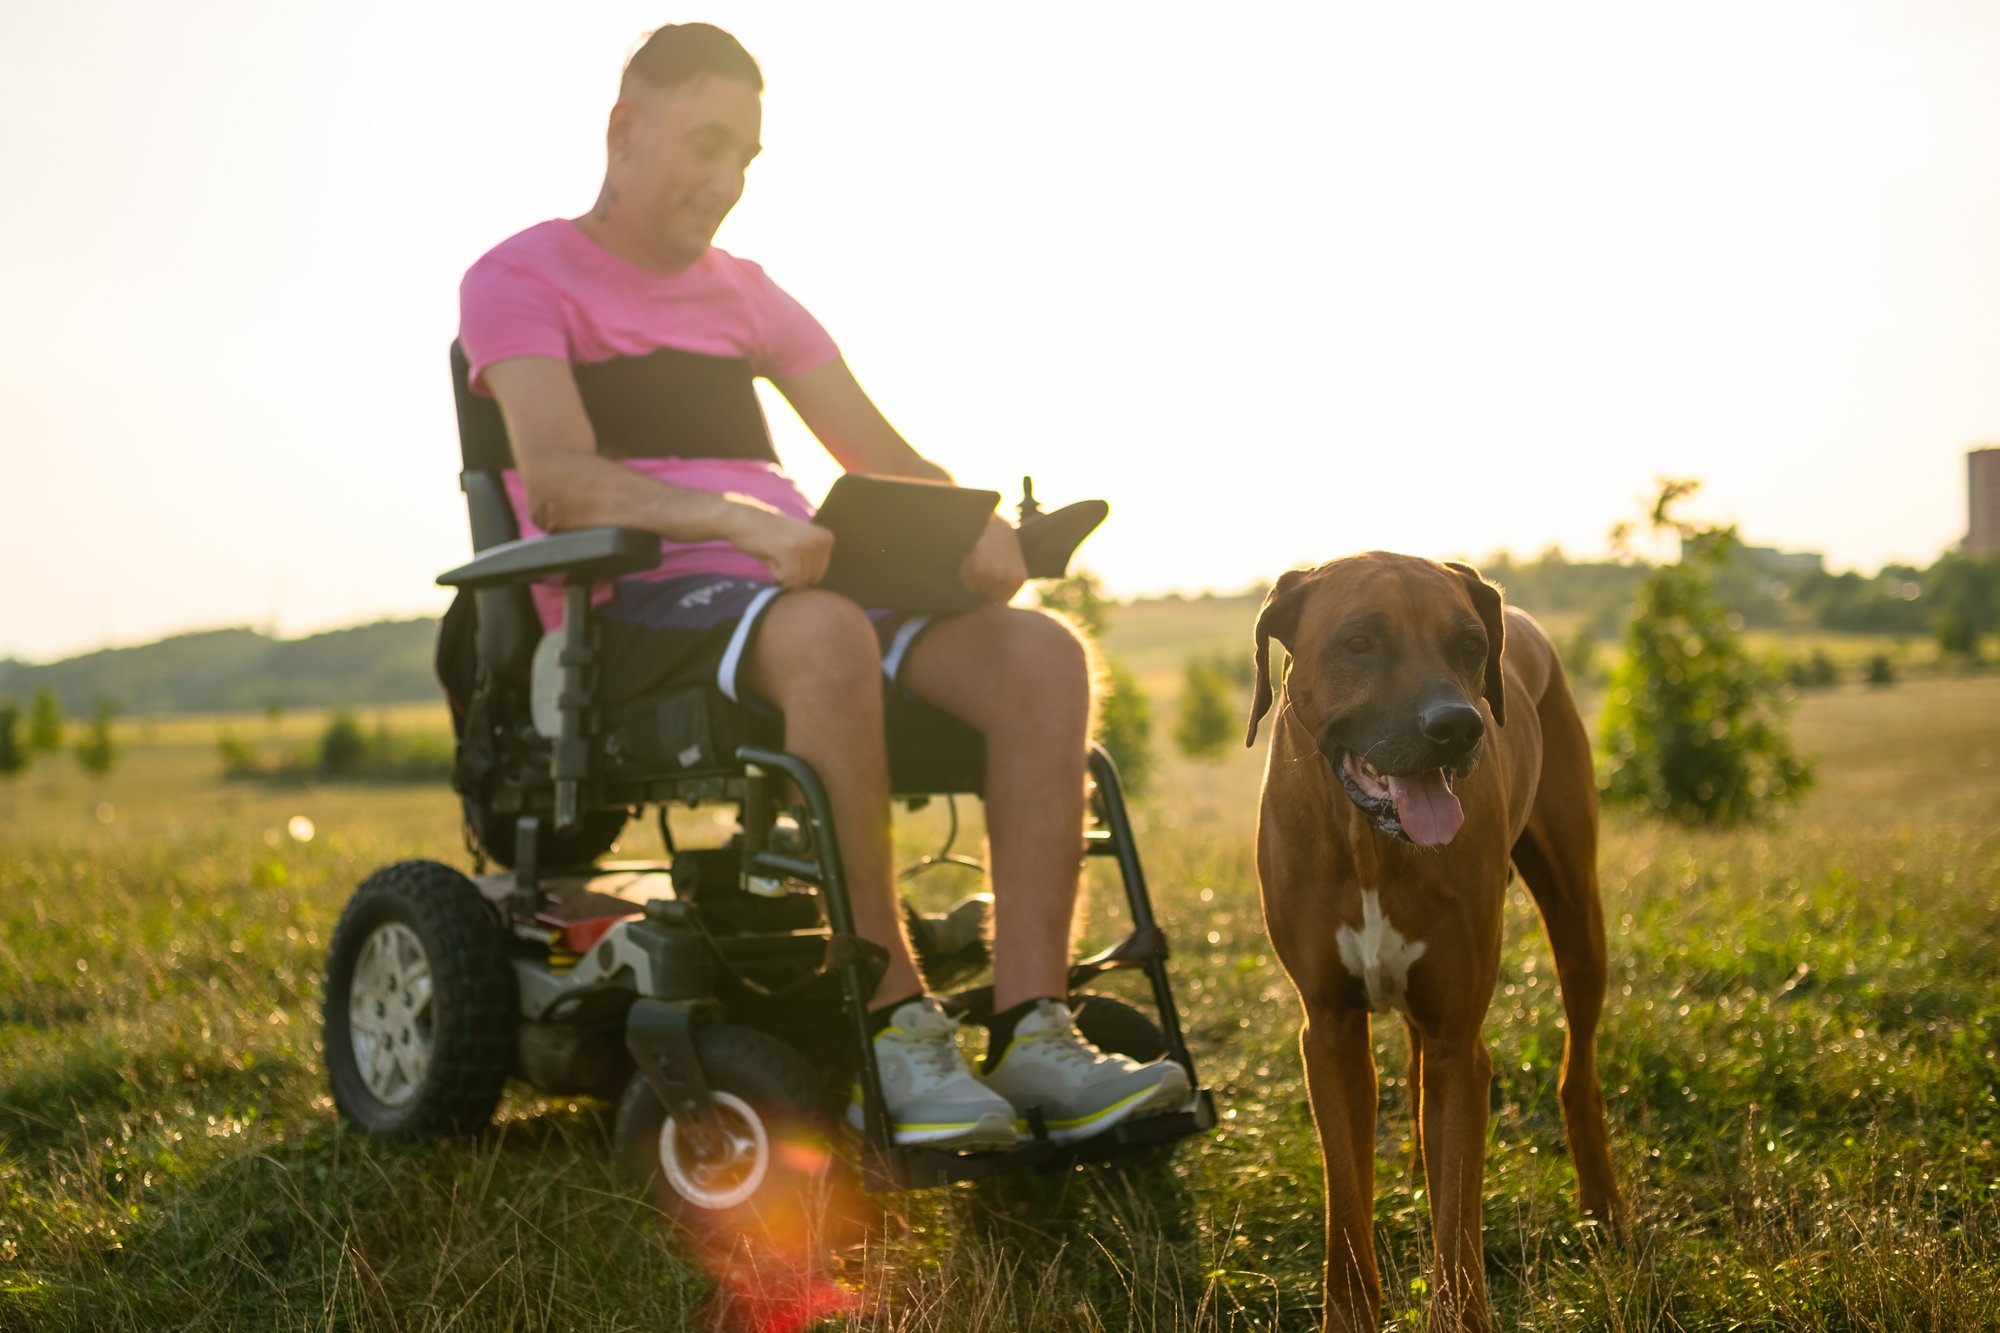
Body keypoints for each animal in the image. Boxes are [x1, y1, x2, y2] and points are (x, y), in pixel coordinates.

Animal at [1248, 548, 1624, 1328]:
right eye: (1360, 642)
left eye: (1470, 645)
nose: (1458, 727)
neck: (1369, 840)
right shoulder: (1329, 1030)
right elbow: (1346, 1204)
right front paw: (1350, 1310)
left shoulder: (1460, 1043)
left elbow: (1458, 1223)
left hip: (1577, 916)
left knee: (1577, 1067)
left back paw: (1603, 1203)